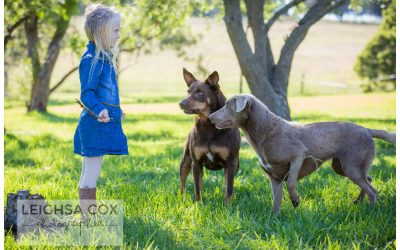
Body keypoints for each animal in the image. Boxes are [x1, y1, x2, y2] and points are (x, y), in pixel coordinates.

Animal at [179, 68, 241, 201]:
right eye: (188, 92)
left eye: (200, 92)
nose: (181, 103)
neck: (208, 125)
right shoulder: (196, 162)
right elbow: (197, 188)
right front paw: (198, 203)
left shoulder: (230, 162)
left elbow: (228, 188)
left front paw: (228, 205)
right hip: (186, 160)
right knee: (184, 182)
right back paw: (182, 198)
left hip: (236, 164)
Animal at [208, 94, 396, 214]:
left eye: (227, 105)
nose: (209, 117)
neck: (265, 132)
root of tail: (367, 129)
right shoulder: (274, 178)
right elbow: (276, 200)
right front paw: (275, 218)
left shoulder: (298, 155)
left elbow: (291, 181)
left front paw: (295, 201)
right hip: (342, 166)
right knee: (368, 179)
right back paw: (358, 202)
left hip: (351, 166)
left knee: (372, 191)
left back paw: (370, 212)